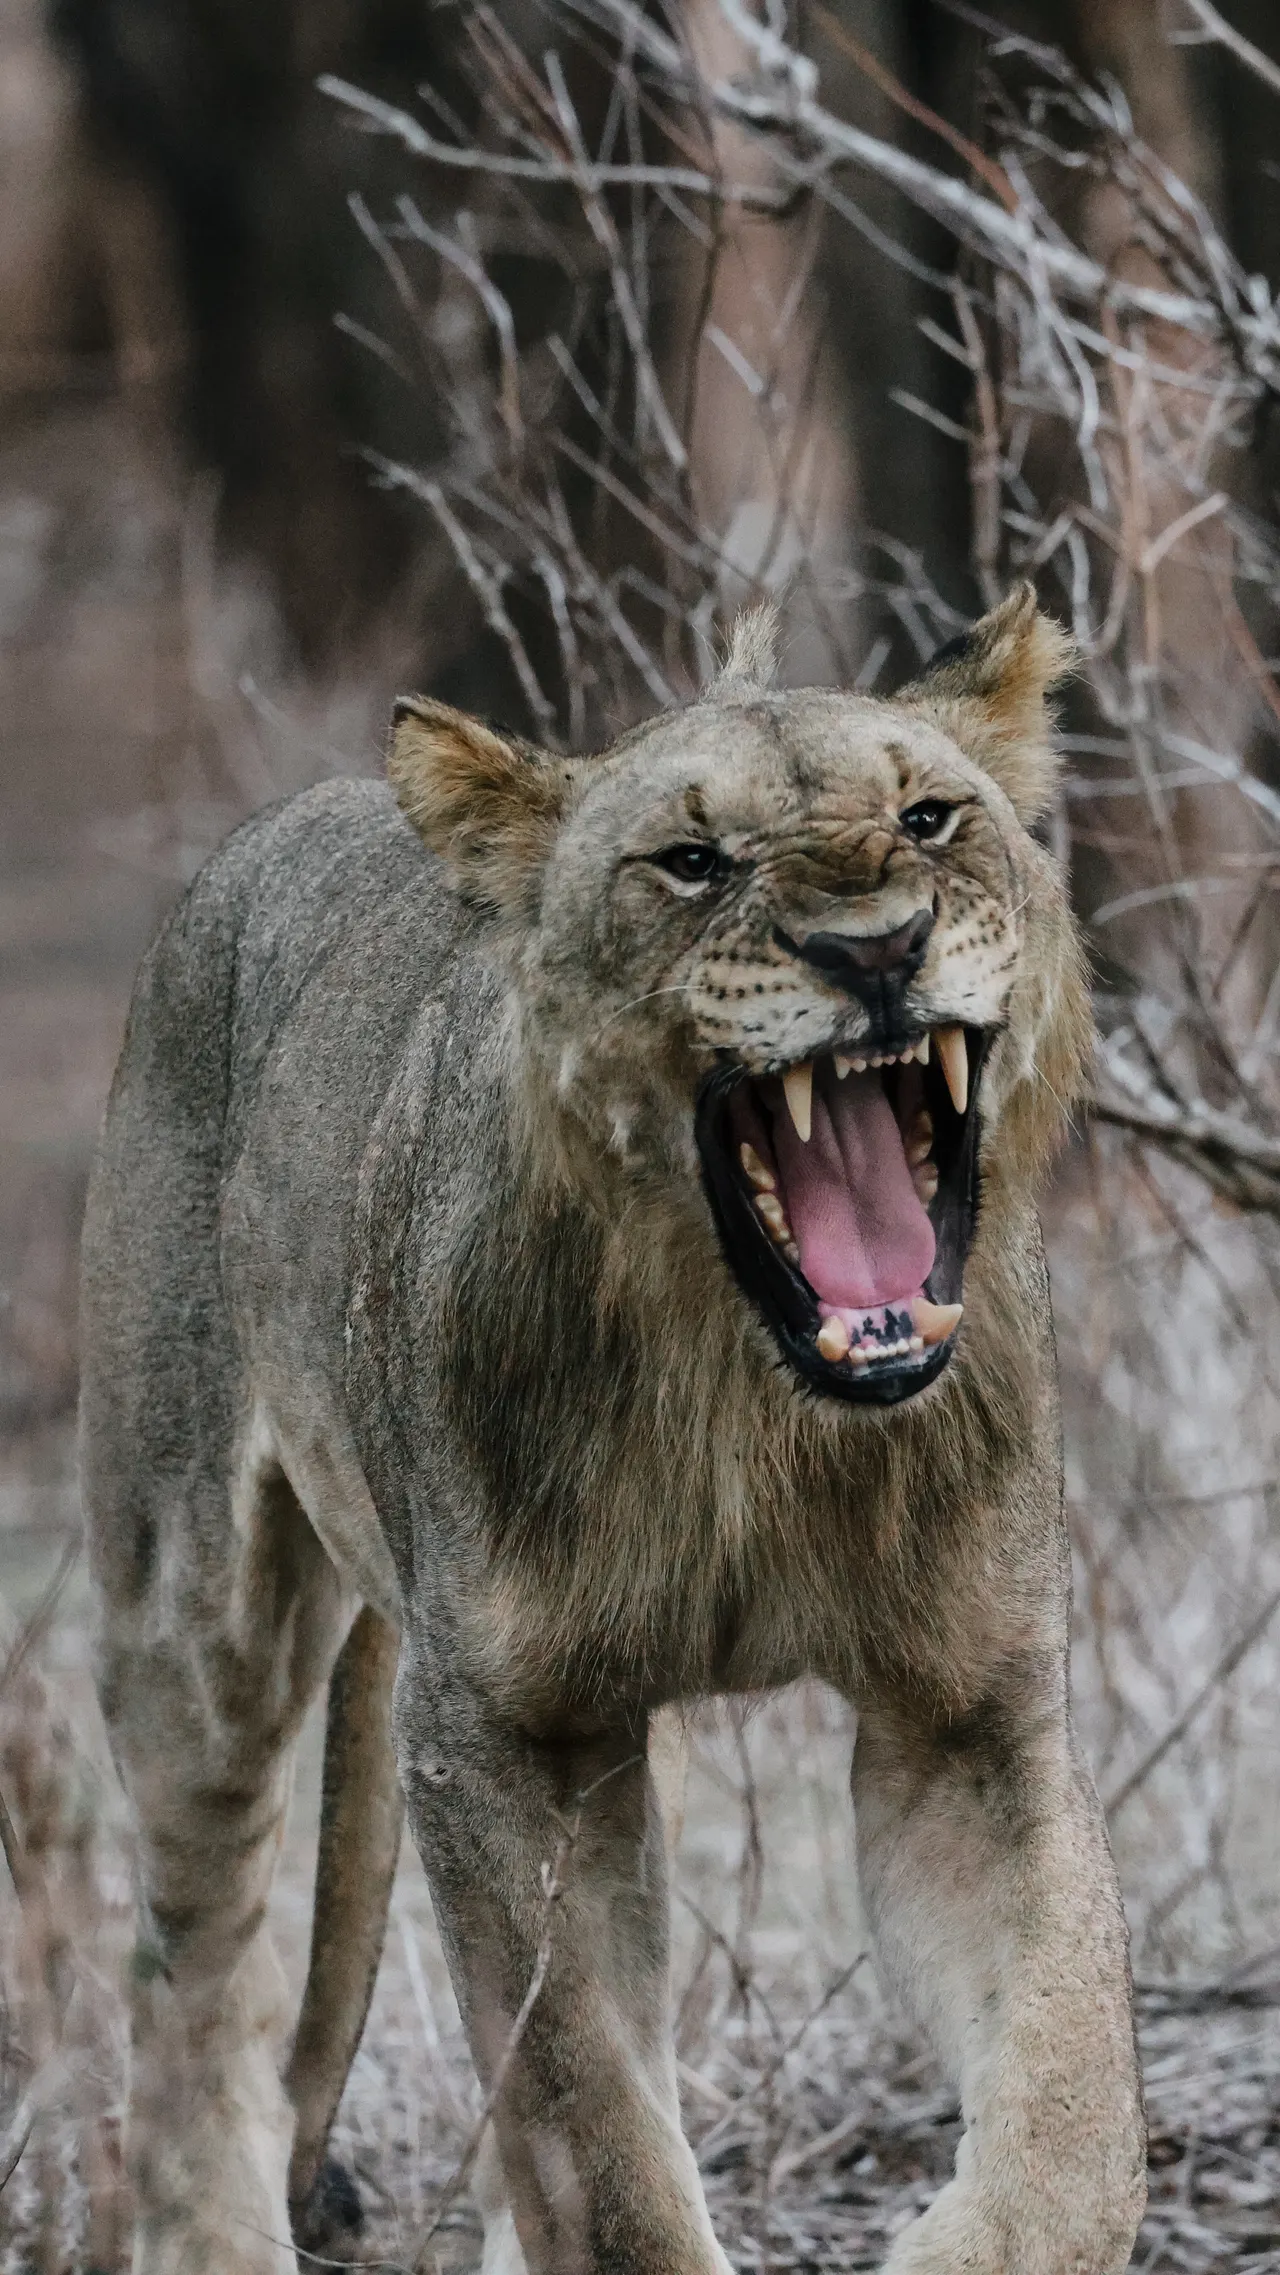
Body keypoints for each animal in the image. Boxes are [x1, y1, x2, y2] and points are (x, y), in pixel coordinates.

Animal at [79, 582, 1146, 2274]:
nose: (877, 947)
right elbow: (593, 2136)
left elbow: (1073, 2099)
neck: (751, 1404)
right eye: (692, 858)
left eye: (930, 816)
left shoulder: (969, 1711)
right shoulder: (502, 1738)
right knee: (192, 1973)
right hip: (189, 1616)